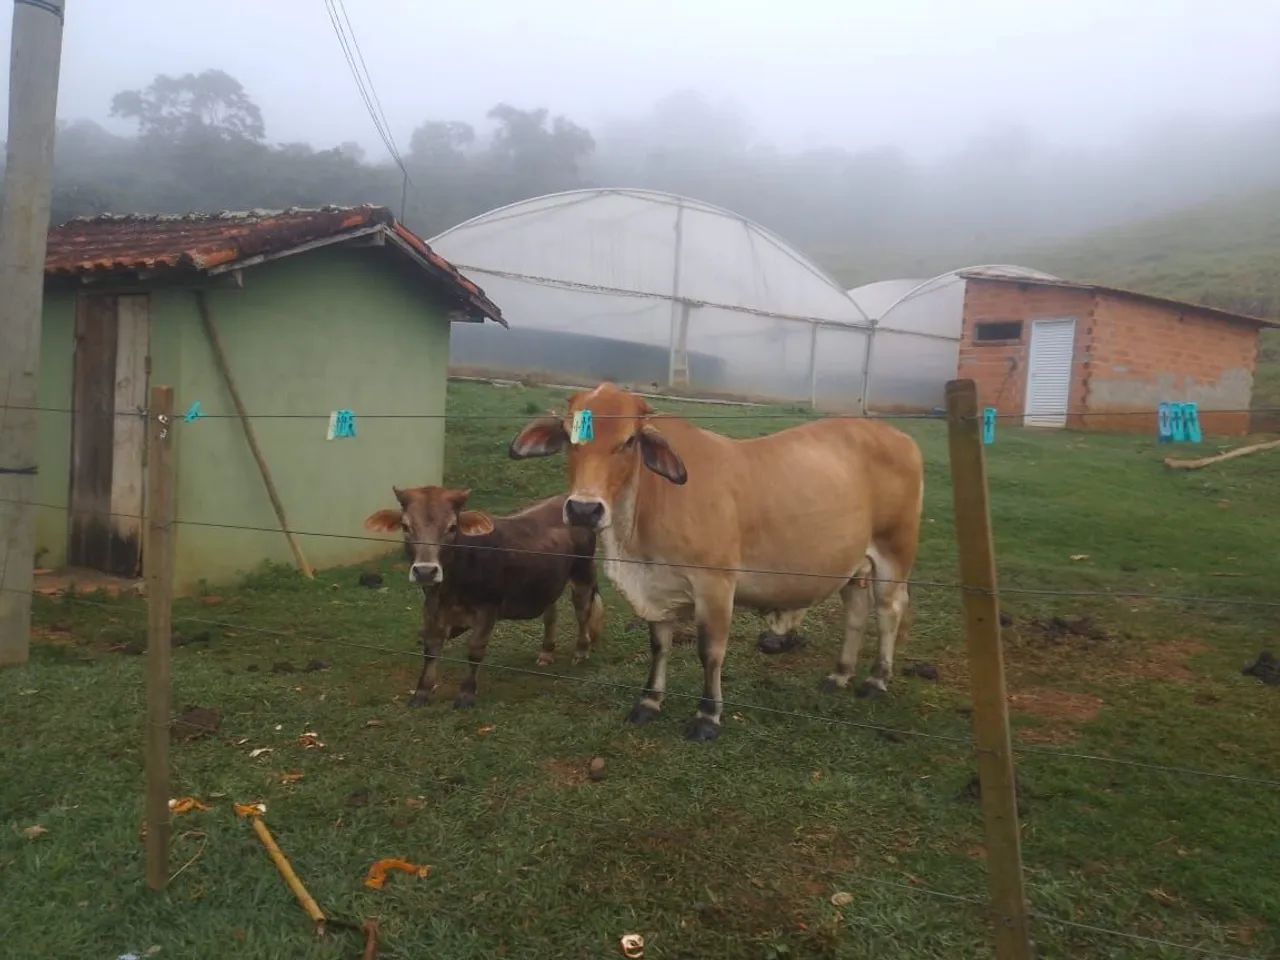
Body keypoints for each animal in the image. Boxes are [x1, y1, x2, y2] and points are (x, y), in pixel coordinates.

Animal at [364, 486, 604, 709]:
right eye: (406, 527)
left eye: (452, 527)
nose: (425, 571)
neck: (451, 587)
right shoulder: (431, 606)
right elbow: (431, 648)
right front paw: (421, 693)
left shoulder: (487, 608)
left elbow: (475, 650)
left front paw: (466, 694)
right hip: (547, 583)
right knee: (551, 614)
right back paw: (546, 653)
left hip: (583, 575)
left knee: (583, 612)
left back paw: (581, 651)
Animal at [509, 383, 923, 741]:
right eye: (569, 437)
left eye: (628, 441)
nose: (583, 509)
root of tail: (900, 437)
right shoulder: (657, 590)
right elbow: (659, 645)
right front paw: (649, 702)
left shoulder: (715, 585)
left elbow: (710, 652)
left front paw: (707, 717)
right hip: (854, 565)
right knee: (856, 612)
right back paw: (840, 675)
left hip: (893, 553)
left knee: (889, 611)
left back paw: (876, 680)